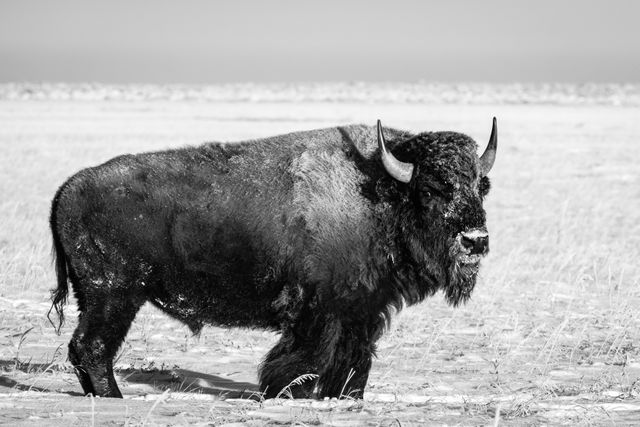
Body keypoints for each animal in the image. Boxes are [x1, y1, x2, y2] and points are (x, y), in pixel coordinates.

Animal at [51, 118, 500, 400]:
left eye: (482, 186)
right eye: (432, 188)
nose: (475, 240)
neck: (381, 191)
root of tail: (66, 189)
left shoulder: (362, 311)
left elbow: (353, 362)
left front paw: (344, 399)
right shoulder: (320, 311)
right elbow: (302, 360)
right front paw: (283, 393)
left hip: (103, 297)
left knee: (86, 347)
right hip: (114, 295)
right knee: (92, 346)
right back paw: (114, 398)